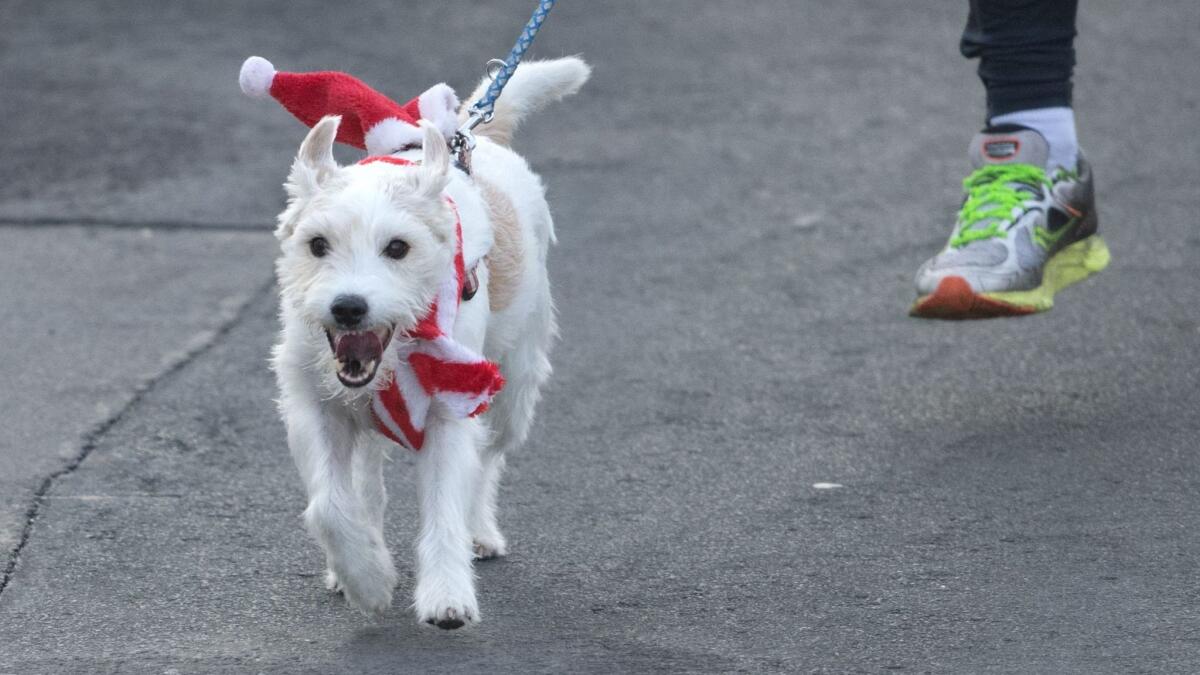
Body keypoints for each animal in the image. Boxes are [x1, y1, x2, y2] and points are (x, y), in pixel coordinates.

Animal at [271, 57, 590, 624]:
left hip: (515, 387)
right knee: (366, 485)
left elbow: (445, 506)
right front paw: (367, 578)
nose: (348, 307)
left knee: (487, 461)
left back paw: (479, 532)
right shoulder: (315, 407)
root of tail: (473, 137)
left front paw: (446, 596)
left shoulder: (451, 406)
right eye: (317, 244)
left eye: (398, 248)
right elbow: (330, 505)